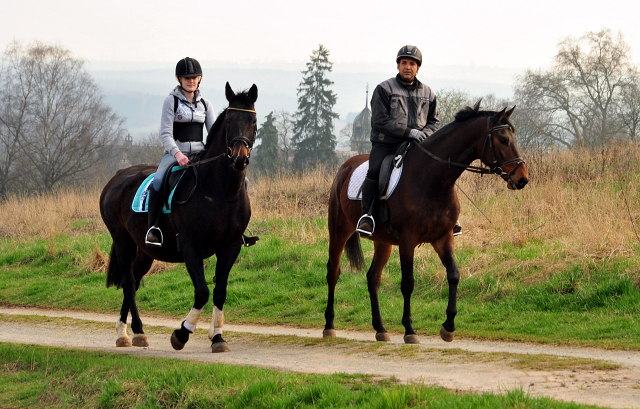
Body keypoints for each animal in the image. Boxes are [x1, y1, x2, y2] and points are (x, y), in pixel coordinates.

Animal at [99, 82, 256, 350]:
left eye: (253, 121)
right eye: (229, 121)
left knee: (134, 281)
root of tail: (118, 176)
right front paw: (181, 334)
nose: (239, 158)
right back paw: (135, 332)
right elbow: (202, 292)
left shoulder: (231, 246)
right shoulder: (191, 246)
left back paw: (126, 333)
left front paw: (217, 337)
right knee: (129, 282)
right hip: (122, 241)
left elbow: (220, 292)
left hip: (144, 250)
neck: (220, 192)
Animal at [322, 101, 528, 342]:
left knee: (373, 278)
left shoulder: (443, 238)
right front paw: (409, 330)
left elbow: (454, 275)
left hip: (382, 241)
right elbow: (408, 284)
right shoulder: (407, 241)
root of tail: (345, 166)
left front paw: (448, 326)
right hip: (339, 231)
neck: (433, 179)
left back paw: (380, 329)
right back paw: (329, 325)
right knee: (333, 273)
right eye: (503, 139)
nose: (522, 179)